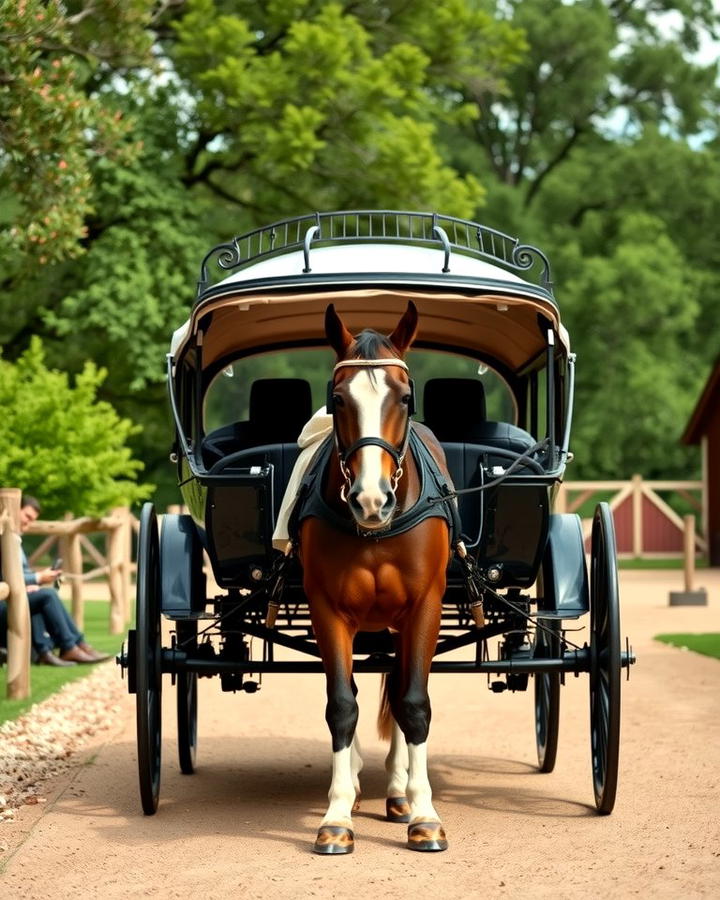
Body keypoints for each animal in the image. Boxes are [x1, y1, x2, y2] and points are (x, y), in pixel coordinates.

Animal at [296, 298, 452, 856]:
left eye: (404, 398)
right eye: (338, 399)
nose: (370, 498)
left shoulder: (425, 607)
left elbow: (414, 704)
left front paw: (425, 814)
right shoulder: (327, 610)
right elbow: (342, 706)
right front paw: (337, 815)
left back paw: (401, 789)